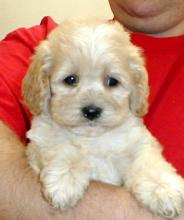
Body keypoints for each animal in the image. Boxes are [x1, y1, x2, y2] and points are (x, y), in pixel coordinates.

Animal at [22, 17, 184, 218]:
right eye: (70, 79)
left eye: (112, 81)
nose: (91, 111)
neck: (94, 138)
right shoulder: (40, 142)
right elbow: (62, 146)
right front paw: (65, 180)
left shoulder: (138, 143)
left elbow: (147, 162)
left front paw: (163, 188)